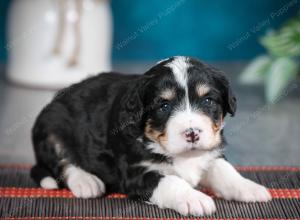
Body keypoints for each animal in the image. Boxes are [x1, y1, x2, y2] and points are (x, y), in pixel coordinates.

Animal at [31, 55, 272, 216]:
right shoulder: (135, 172)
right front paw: (194, 198)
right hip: (50, 127)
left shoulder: (211, 151)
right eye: (164, 106)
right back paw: (86, 182)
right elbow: (171, 181)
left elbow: (225, 170)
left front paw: (249, 188)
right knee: (63, 162)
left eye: (208, 101)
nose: (192, 133)